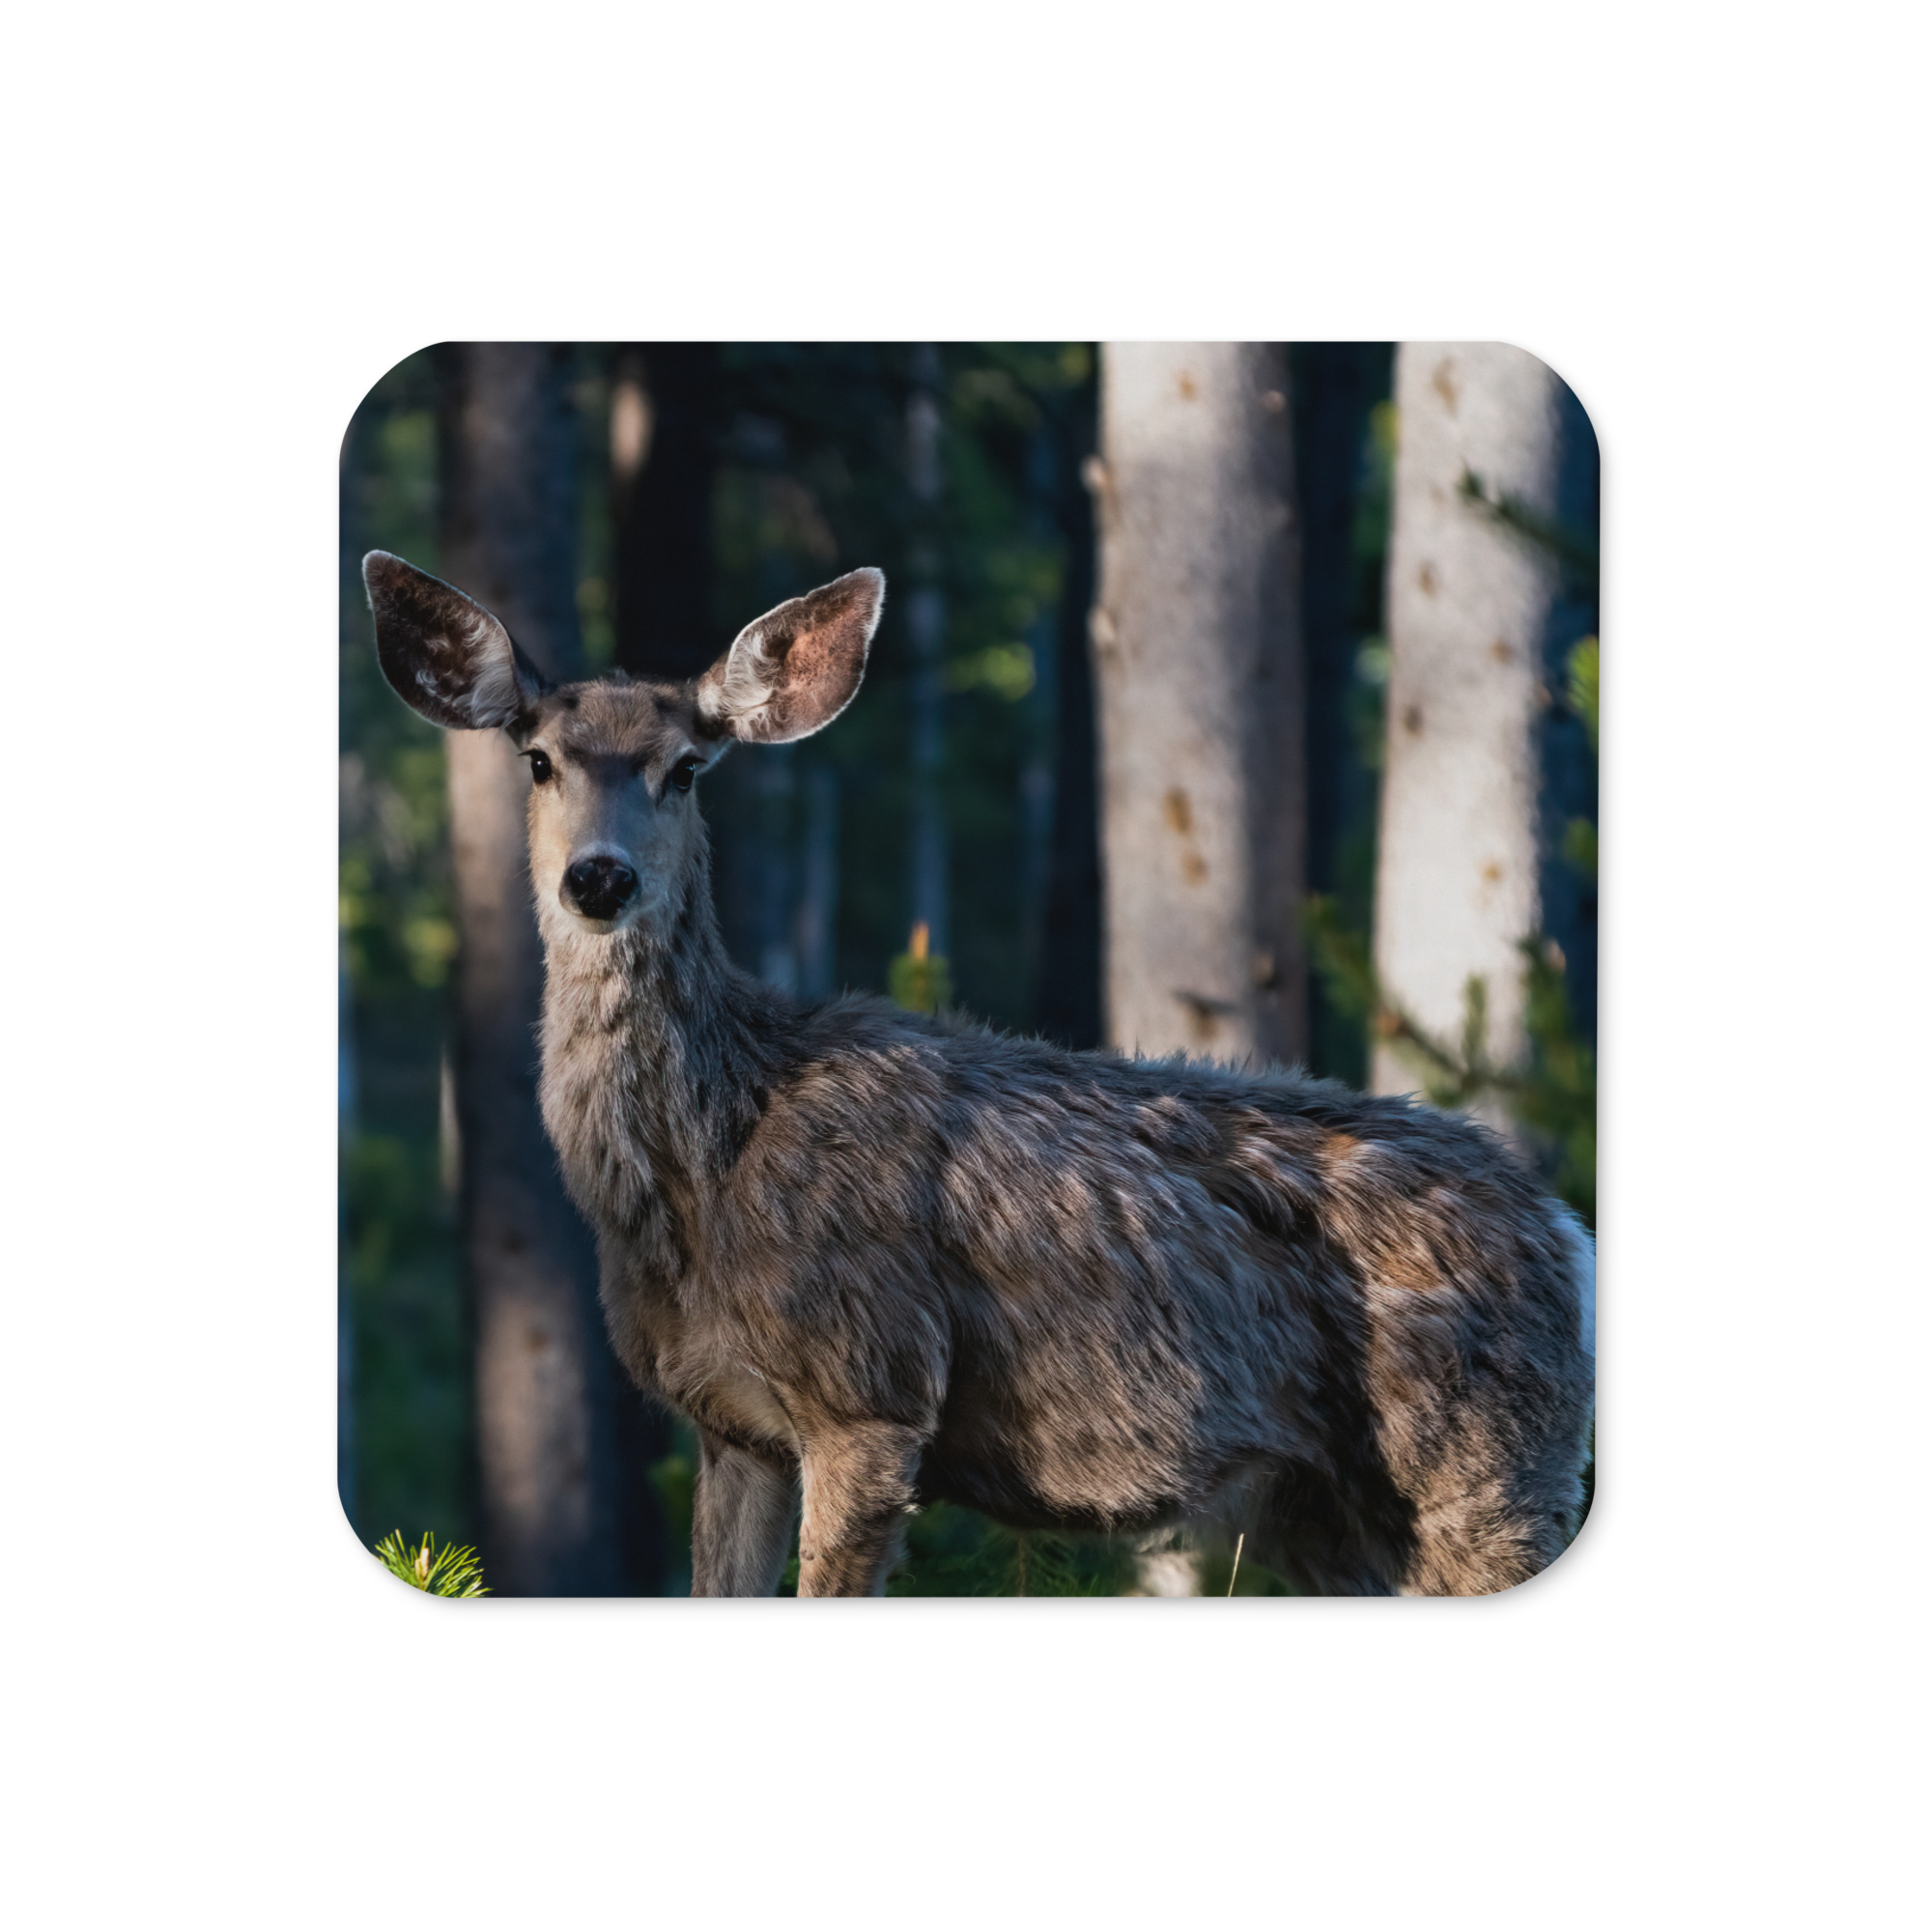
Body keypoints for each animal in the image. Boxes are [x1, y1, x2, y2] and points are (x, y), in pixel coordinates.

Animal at [364, 551, 1596, 1598]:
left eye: (684, 768)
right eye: (538, 759)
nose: (598, 877)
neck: (697, 1171)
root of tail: (1564, 1230)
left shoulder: (872, 1387)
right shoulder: (727, 1424)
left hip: (1485, 1462)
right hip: (1329, 1508)